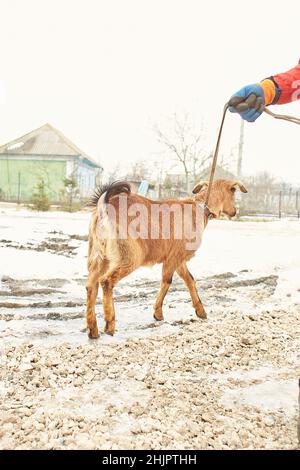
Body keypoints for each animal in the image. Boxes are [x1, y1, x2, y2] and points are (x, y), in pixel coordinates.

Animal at [85, 179, 247, 338]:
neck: (200, 208)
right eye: (233, 192)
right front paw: (158, 313)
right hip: (130, 256)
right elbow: (167, 281)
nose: (234, 211)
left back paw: (93, 330)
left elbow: (189, 280)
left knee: (91, 286)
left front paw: (200, 311)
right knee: (106, 281)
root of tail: (104, 207)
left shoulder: (179, 258)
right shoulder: (174, 257)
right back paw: (109, 324)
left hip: (98, 256)